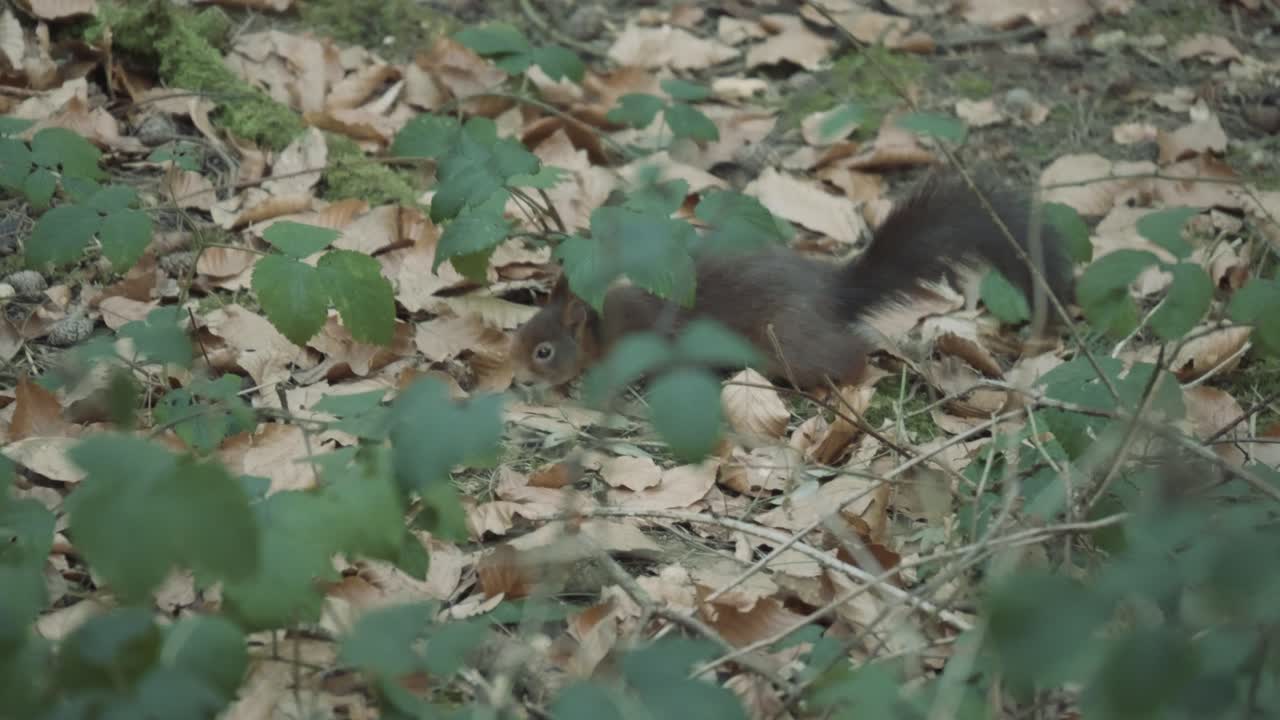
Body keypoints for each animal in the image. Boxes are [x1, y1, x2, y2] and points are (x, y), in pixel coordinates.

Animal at [511, 172, 1075, 390]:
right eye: (521, 332)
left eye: (543, 351)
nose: (514, 376)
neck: (600, 327)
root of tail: (833, 291)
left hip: (790, 342)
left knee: (848, 354)